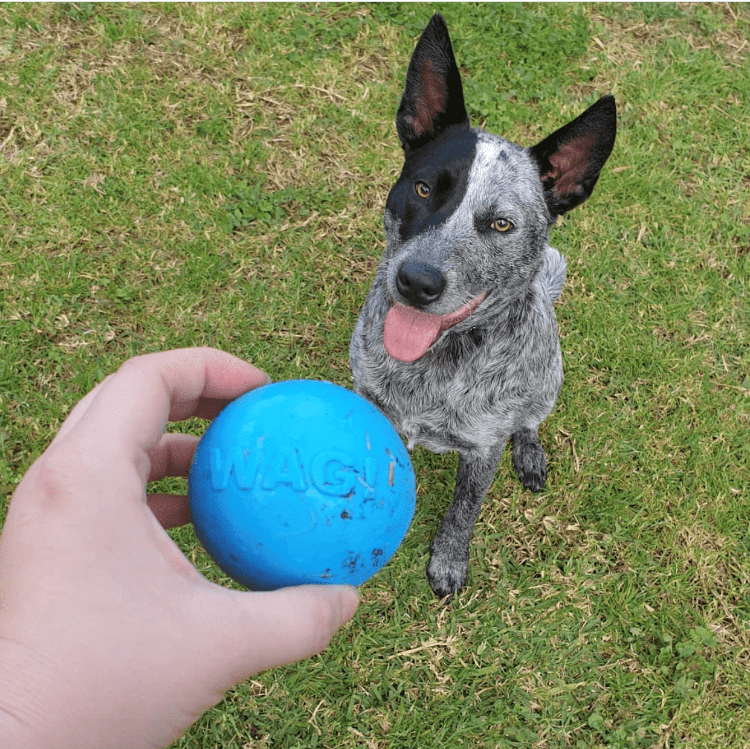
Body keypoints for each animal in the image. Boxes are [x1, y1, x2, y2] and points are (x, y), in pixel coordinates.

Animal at [350, 13, 620, 596]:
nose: (416, 281)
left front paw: (449, 559)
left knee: (530, 420)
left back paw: (530, 450)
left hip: (547, 382)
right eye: (424, 188)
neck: (431, 364)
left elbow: (464, 508)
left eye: (501, 224)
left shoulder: (481, 448)